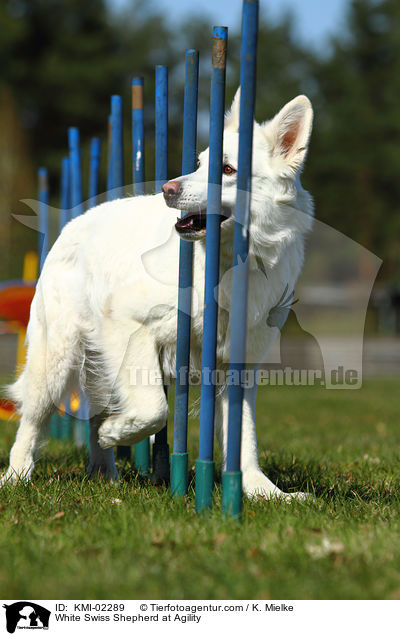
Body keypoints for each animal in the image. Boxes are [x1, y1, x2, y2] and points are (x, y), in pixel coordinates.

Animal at [0, 90, 314, 496]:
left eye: (227, 170)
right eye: (199, 164)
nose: (168, 189)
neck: (226, 264)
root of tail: (75, 222)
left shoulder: (238, 365)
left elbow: (244, 436)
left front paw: (263, 491)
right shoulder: (130, 326)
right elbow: (155, 410)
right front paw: (118, 432)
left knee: (94, 415)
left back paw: (104, 474)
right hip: (56, 359)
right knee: (33, 422)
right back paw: (17, 477)